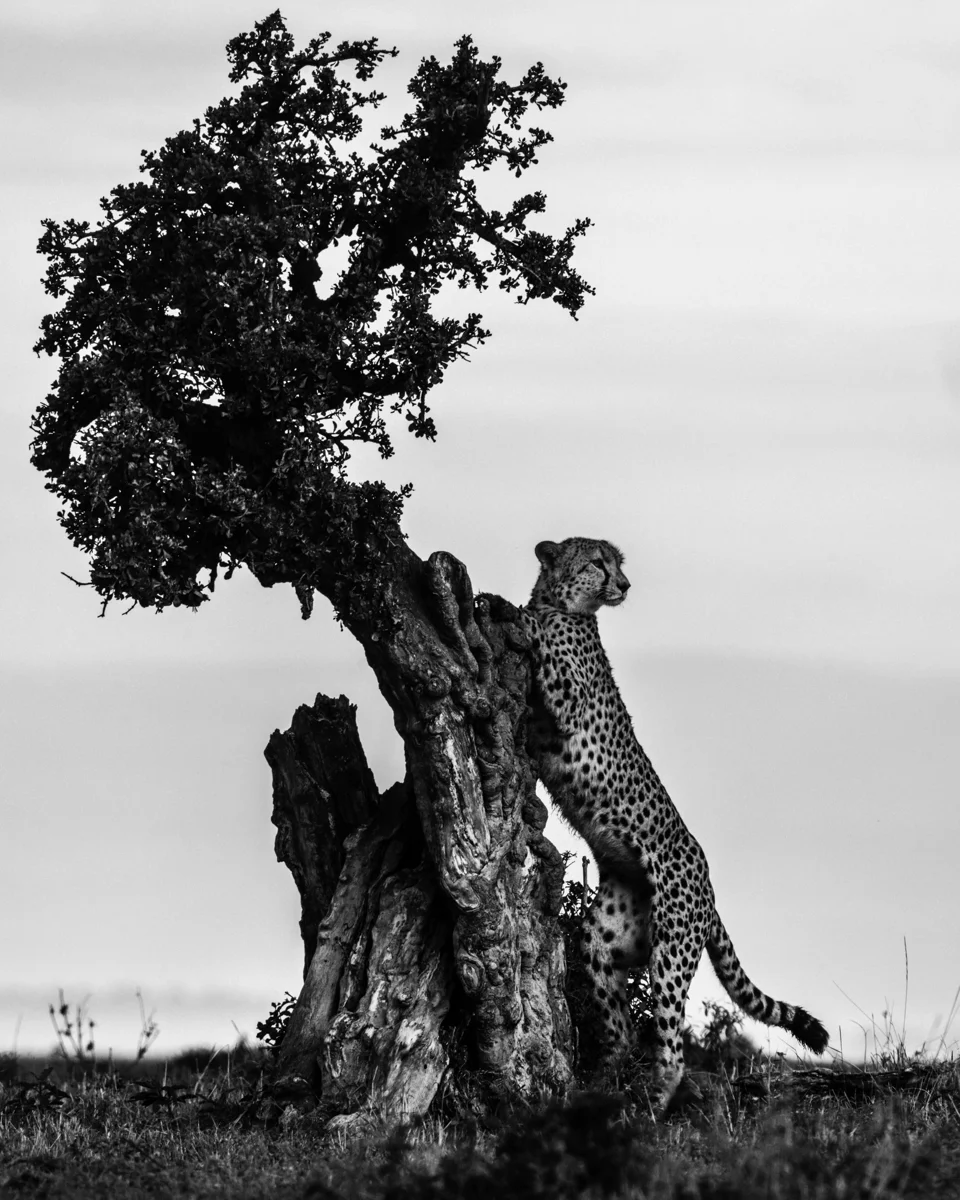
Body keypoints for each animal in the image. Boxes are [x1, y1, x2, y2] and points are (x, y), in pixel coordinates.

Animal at [521, 536, 829, 1113]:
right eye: (598, 562)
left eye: (617, 563)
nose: (625, 585)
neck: (565, 606)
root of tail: (708, 886)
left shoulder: (566, 698)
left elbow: (539, 642)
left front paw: (505, 609)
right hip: (606, 937)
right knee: (619, 1022)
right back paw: (604, 1080)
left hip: (671, 947)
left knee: (672, 1047)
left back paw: (648, 1105)